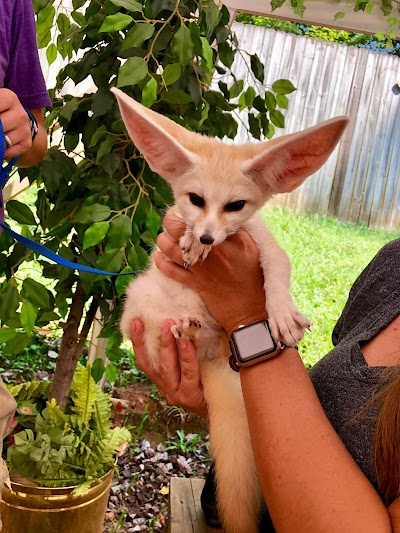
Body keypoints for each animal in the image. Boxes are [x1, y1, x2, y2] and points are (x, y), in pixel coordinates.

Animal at [112, 87, 346, 532]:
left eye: (236, 205)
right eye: (196, 199)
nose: (207, 236)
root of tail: (211, 356)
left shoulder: (266, 246)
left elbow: (277, 272)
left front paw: (283, 314)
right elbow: (179, 224)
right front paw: (191, 240)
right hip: (141, 299)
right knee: (161, 332)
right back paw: (184, 326)